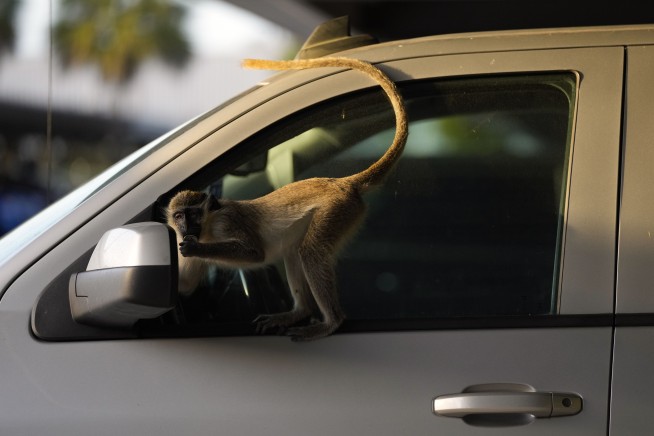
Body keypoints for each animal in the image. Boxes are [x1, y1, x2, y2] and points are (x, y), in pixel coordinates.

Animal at [167, 56, 408, 341]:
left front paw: (197, 248)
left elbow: (254, 252)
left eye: (193, 213)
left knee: (310, 251)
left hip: (337, 210)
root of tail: (340, 182)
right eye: (179, 216)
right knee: (294, 251)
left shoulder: (227, 221)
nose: (185, 228)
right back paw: (299, 313)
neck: (208, 226)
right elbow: (185, 286)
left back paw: (331, 322)